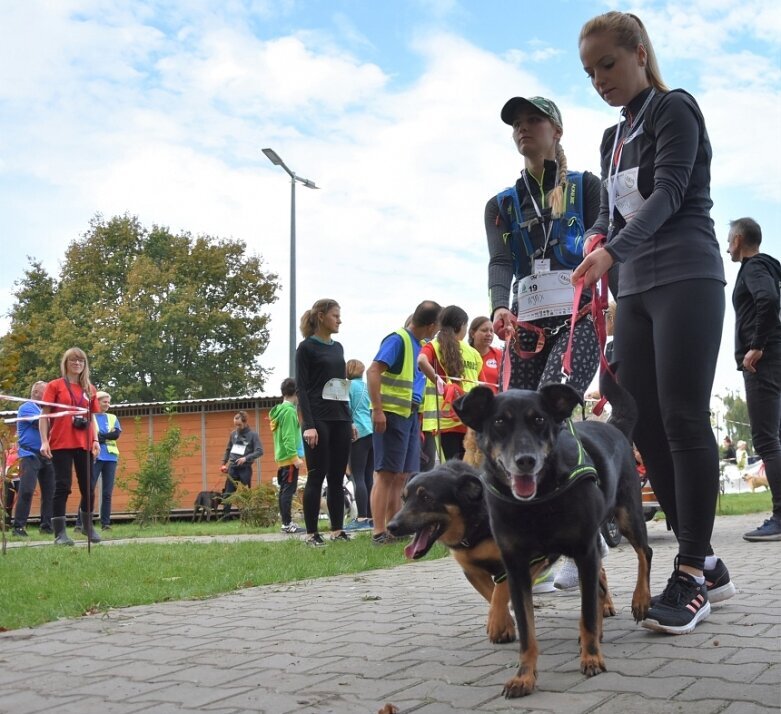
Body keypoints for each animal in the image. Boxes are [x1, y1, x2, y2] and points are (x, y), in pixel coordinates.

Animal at [386, 458, 556, 644]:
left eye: (426, 498)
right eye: (403, 498)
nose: (391, 527)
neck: (475, 527)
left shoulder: (526, 559)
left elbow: (500, 592)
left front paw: (496, 625)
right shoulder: (472, 570)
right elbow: (492, 594)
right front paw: (505, 625)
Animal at [450, 378, 652, 696]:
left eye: (539, 420)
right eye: (499, 422)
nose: (526, 461)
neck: (537, 502)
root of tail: (614, 426)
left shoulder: (584, 551)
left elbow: (587, 612)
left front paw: (591, 658)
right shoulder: (517, 566)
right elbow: (526, 629)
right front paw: (524, 676)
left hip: (627, 513)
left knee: (644, 554)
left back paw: (641, 600)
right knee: (600, 586)